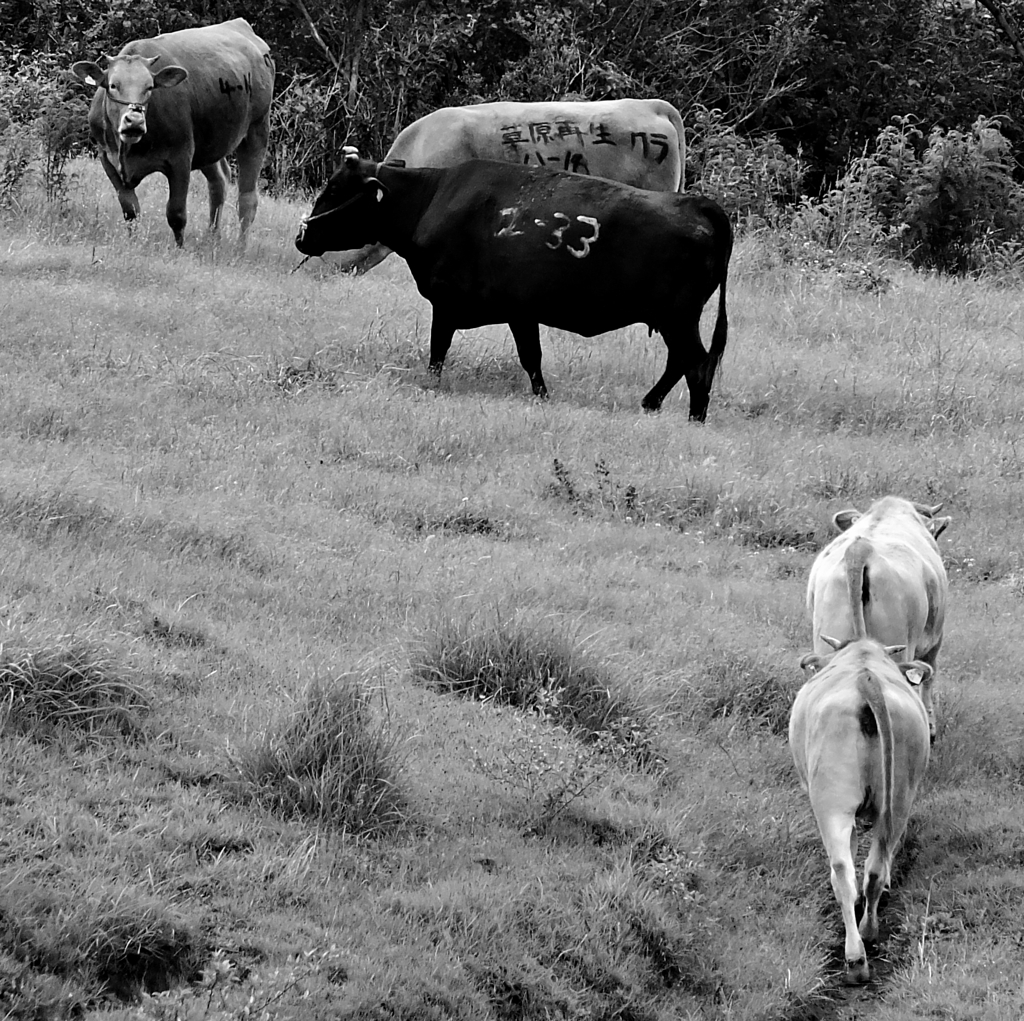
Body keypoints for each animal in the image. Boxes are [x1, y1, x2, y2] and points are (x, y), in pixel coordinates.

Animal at [292, 145, 733, 415]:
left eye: (335, 188)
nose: (302, 235)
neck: (431, 198)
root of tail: (698, 203)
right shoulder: (521, 312)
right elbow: (531, 359)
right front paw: (542, 397)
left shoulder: (447, 304)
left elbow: (438, 352)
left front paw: (430, 386)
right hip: (676, 319)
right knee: (682, 362)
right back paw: (650, 403)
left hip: (678, 317)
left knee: (696, 364)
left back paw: (692, 417)